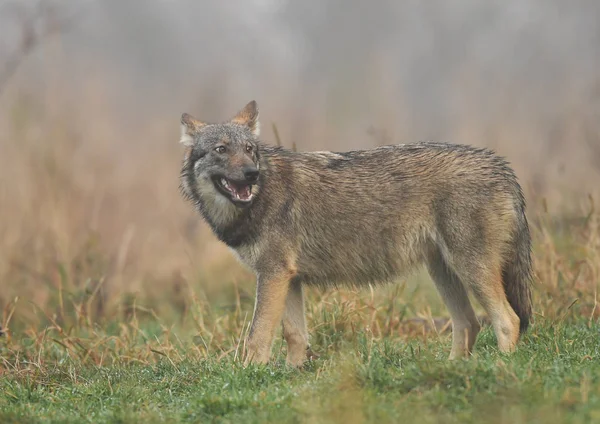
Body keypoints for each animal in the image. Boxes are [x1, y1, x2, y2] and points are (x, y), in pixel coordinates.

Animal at [178, 101, 536, 366]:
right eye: (221, 149)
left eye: (250, 149)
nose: (251, 174)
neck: (260, 196)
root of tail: (503, 167)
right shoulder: (287, 278)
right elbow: (295, 336)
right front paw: (293, 375)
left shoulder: (273, 274)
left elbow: (257, 336)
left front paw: (251, 374)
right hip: (444, 273)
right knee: (469, 323)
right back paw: (453, 369)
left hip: (470, 269)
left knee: (508, 320)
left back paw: (501, 368)